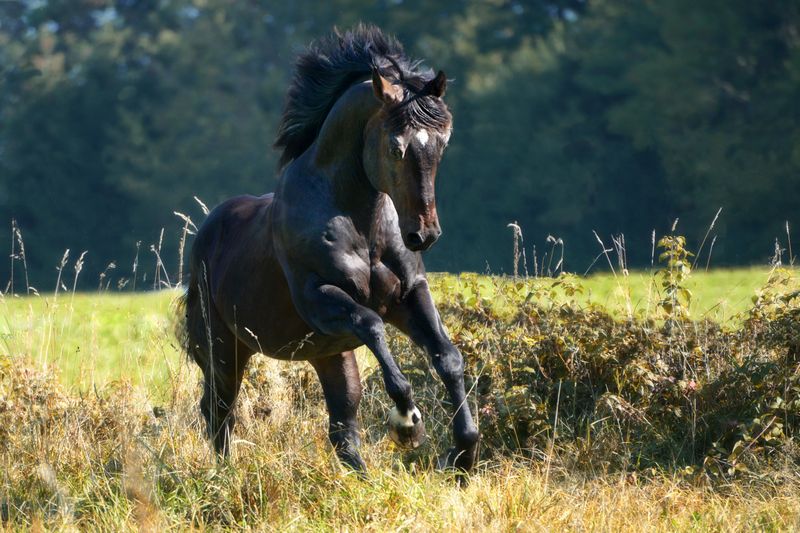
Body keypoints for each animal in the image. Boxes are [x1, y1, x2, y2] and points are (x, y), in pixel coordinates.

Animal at [180, 26, 478, 474]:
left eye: (442, 144)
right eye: (396, 147)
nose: (423, 235)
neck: (363, 227)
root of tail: (205, 235)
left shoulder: (408, 296)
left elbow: (447, 356)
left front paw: (465, 451)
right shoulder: (319, 298)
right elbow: (372, 324)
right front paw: (408, 423)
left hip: (330, 354)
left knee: (342, 429)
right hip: (223, 348)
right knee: (219, 410)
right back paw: (225, 475)